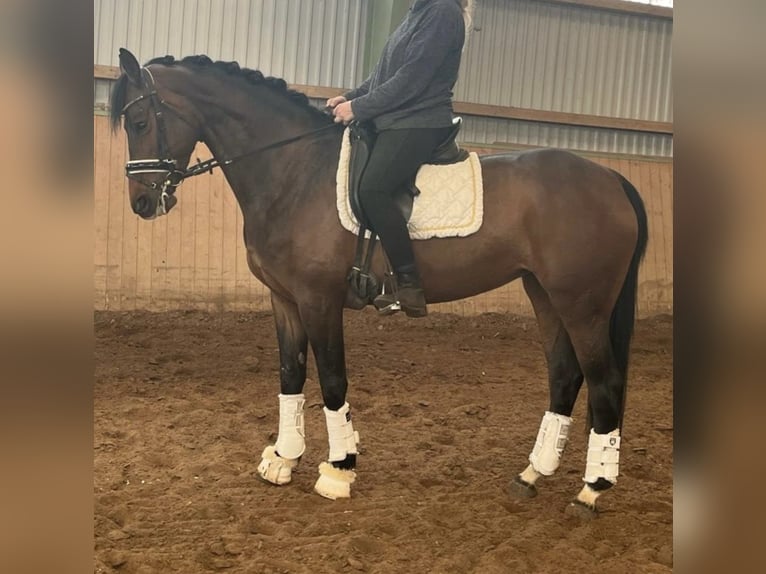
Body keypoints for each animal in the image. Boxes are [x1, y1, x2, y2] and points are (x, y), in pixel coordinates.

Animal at [109, 50, 648, 516]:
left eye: (140, 123)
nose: (141, 203)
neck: (295, 171)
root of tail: (611, 179)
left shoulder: (318, 300)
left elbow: (331, 380)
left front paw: (339, 469)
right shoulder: (284, 299)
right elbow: (290, 375)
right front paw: (283, 459)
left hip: (582, 303)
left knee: (603, 381)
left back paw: (592, 489)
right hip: (545, 294)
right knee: (565, 374)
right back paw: (532, 474)